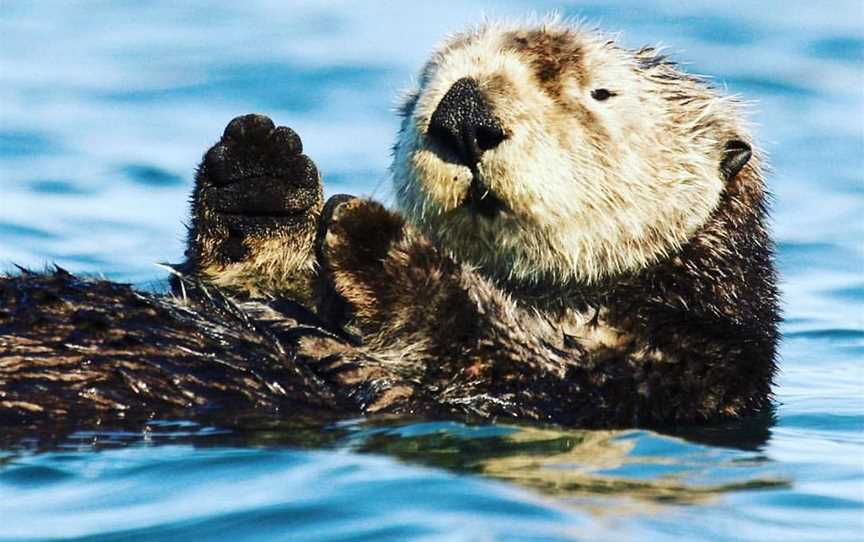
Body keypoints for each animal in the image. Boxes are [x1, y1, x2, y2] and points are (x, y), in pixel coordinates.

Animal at [0, 20, 780, 430]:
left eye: (601, 92)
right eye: (422, 91)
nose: (463, 113)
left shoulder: (645, 376)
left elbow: (477, 343)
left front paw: (370, 236)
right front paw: (261, 170)